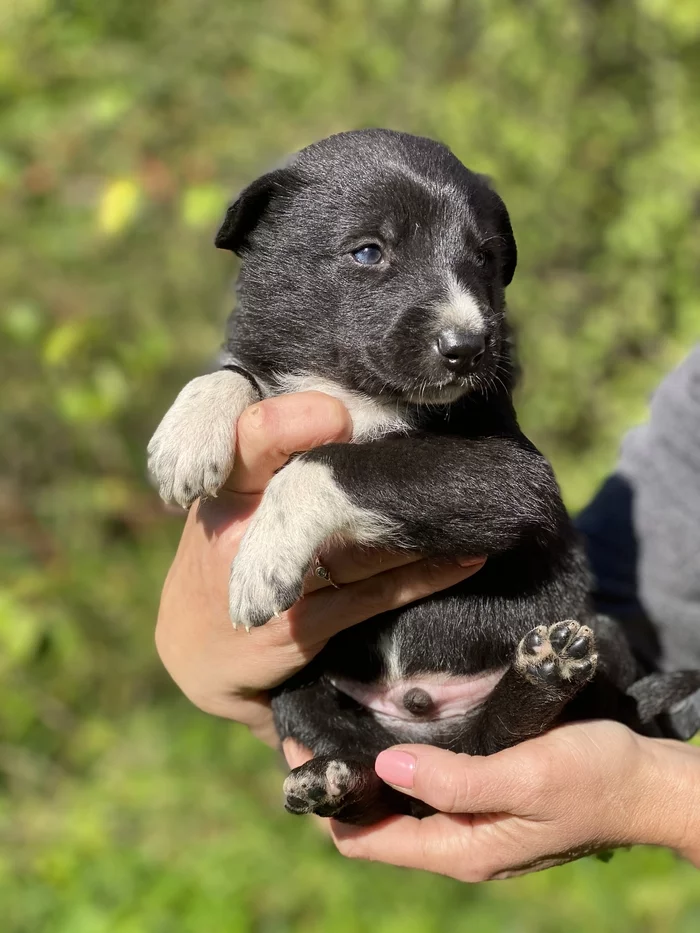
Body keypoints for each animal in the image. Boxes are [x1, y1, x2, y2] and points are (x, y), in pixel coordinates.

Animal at [149, 129, 700, 824]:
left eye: (485, 259)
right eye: (368, 251)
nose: (468, 346)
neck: (360, 391)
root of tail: (433, 727)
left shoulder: (514, 475)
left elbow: (335, 462)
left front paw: (264, 558)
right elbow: (236, 371)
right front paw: (187, 435)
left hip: (596, 635)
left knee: (502, 739)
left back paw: (543, 675)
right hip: (299, 689)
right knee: (383, 775)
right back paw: (332, 781)